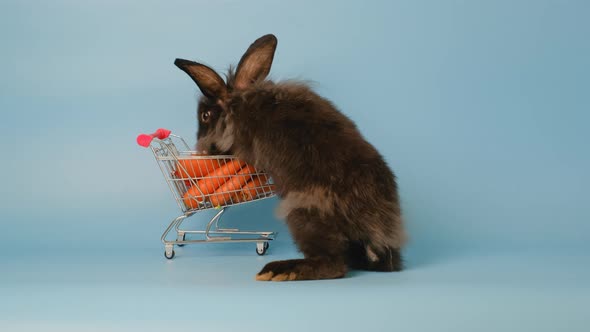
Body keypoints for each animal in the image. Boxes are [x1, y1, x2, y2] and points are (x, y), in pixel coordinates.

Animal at [175, 33, 408, 282]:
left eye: (205, 115)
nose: (200, 147)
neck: (237, 104)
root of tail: (377, 233)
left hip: (303, 216)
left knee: (333, 264)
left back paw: (279, 271)